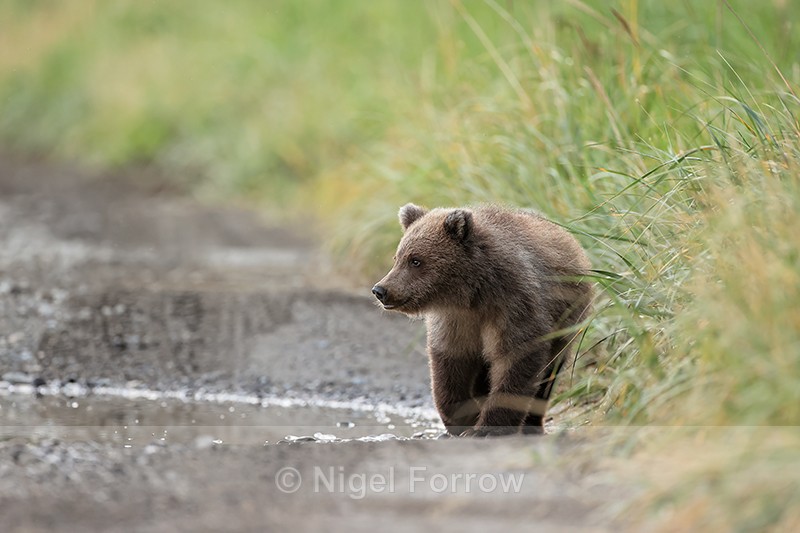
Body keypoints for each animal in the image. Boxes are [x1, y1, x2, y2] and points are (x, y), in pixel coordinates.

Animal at [372, 203, 593, 437]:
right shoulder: (455, 321)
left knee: (549, 374)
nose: (380, 290)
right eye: (397, 258)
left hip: (567, 322)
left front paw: (487, 427)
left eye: (415, 260)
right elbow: (449, 366)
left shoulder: (513, 307)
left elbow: (516, 360)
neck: (472, 296)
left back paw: (532, 423)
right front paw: (463, 418)